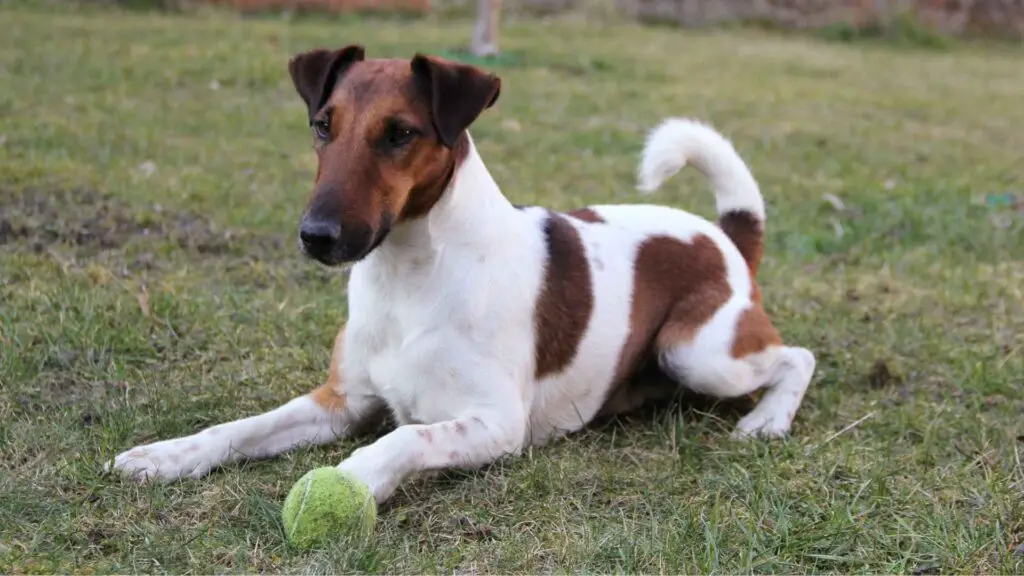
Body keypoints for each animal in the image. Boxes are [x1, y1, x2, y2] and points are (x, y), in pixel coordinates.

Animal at [105, 44, 815, 502]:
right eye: (322, 126)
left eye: (399, 133)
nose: (316, 236)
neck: (408, 279)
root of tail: (725, 234)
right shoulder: (339, 402)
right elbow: (238, 428)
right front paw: (166, 456)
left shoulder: (496, 424)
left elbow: (404, 441)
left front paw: (350, 482)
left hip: (697, 351)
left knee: (798, 357)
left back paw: (768, 421)